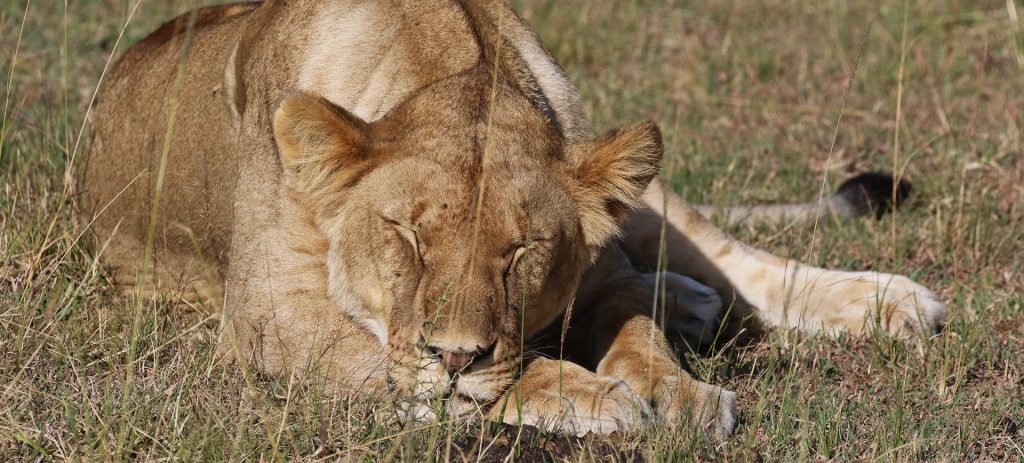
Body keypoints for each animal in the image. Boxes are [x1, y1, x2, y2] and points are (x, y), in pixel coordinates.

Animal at [75, 0, 946, 438]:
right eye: (406, 234)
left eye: (522, 250)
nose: (457, 354)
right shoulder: (270, 314)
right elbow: (427, 370)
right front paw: (589, 394)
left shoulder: (600, 263)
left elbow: (639, 333)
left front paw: (683, 395)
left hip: (635, 185)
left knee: (728, 255)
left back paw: (890, 301)